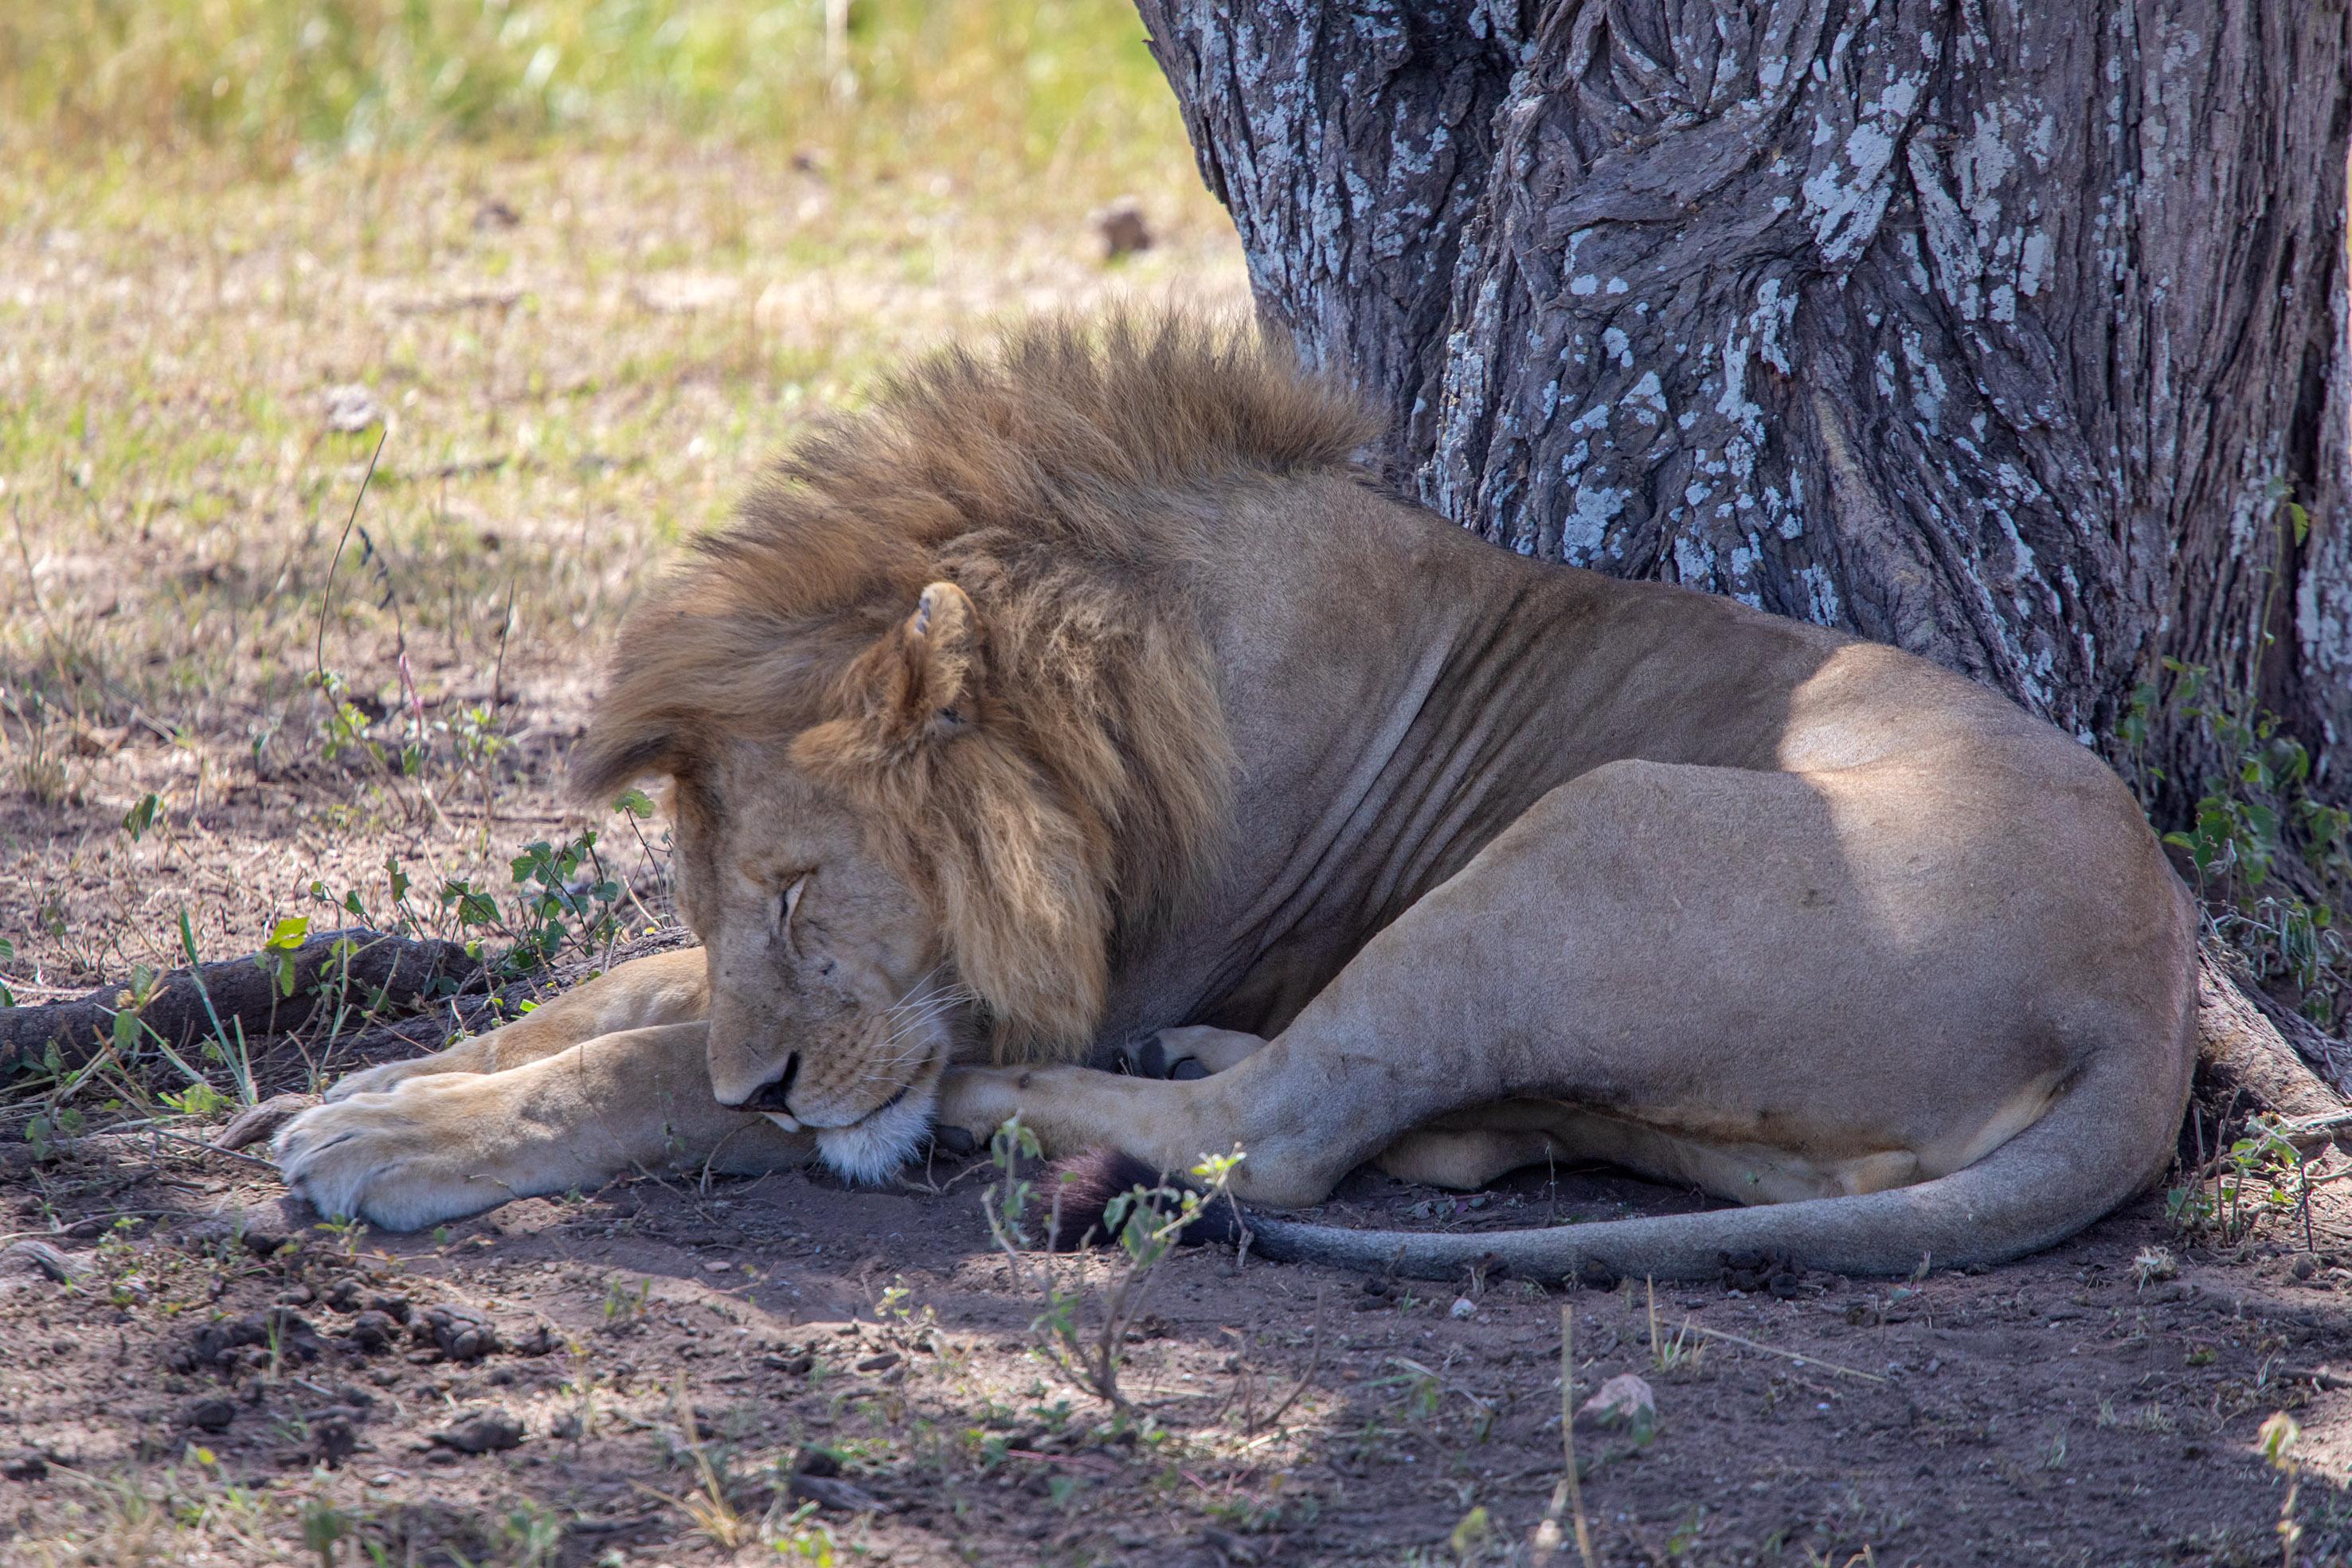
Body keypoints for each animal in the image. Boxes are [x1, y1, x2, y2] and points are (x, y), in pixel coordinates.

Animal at [275, 312, 2201, 1278]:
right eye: (728, 891)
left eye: (802, 889)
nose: (780, 1082)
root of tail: (2146, 999)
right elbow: (620, 992)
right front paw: (375, 1080)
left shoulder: (1054, 971)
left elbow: (657, 1061)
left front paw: (394, 1142)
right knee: (1429, 1130)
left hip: (1596, 825)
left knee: (1268, 1132)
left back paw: (1025, 1095)